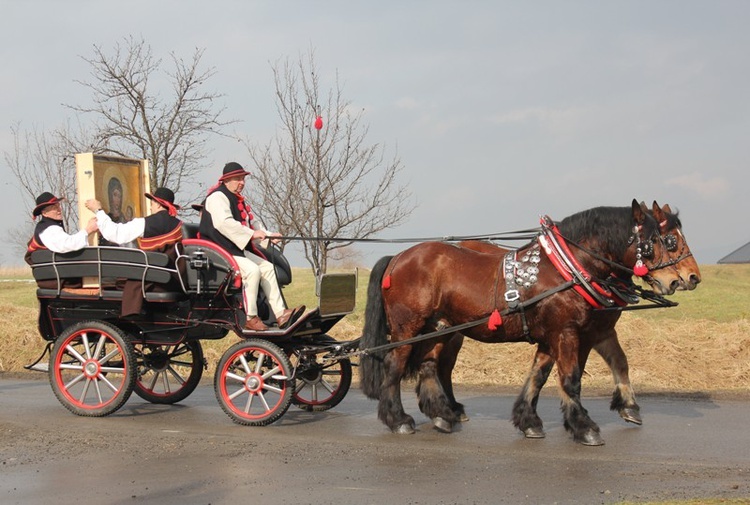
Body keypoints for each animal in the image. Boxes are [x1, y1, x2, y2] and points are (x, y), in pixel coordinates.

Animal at [362, 199, 692, 442]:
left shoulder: (560, 335)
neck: (567, 269)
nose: (687, 278)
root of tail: (398, 257)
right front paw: (585, 427)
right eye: (665, 240)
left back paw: (443, 415)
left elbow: (540, 376)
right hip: (408, 327)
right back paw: (398, 419)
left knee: (430, 364)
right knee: (395, 365)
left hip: (439, 327)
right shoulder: (568, 333)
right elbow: (571, 379)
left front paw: (529, 420)